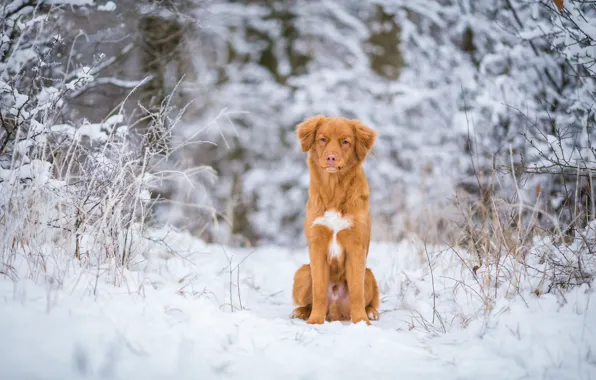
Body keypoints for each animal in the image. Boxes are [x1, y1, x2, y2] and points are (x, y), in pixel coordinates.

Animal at [292, 115, 380, 324]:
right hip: (302, 272)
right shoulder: (317, 245)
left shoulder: (356, 247)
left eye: (345, 142)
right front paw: (315, 320)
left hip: (369, 275)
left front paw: (361, 323)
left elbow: (356, 292)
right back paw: (301, 312)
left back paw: (371, 312)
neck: (333, 191)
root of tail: (335, 311)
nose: (331, 157)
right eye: (322, 139)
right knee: (309, 300)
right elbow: (319, 291)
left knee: (369, 299)